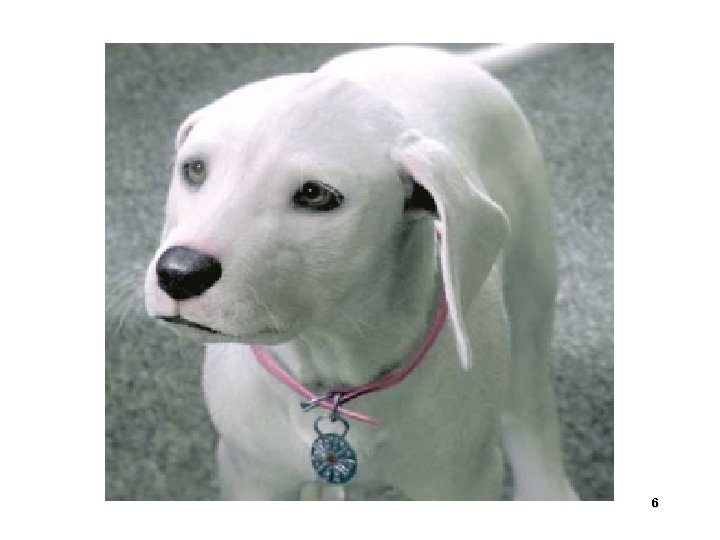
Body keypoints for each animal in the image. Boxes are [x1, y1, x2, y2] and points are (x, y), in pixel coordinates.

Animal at [144, 45, 578, 500]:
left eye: (315, 194)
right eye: (194, 169)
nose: (179, 273)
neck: (332, 380)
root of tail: (446, 59)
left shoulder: (461, 484)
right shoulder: (251, 477)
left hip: (530, 288)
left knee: (528, 406)